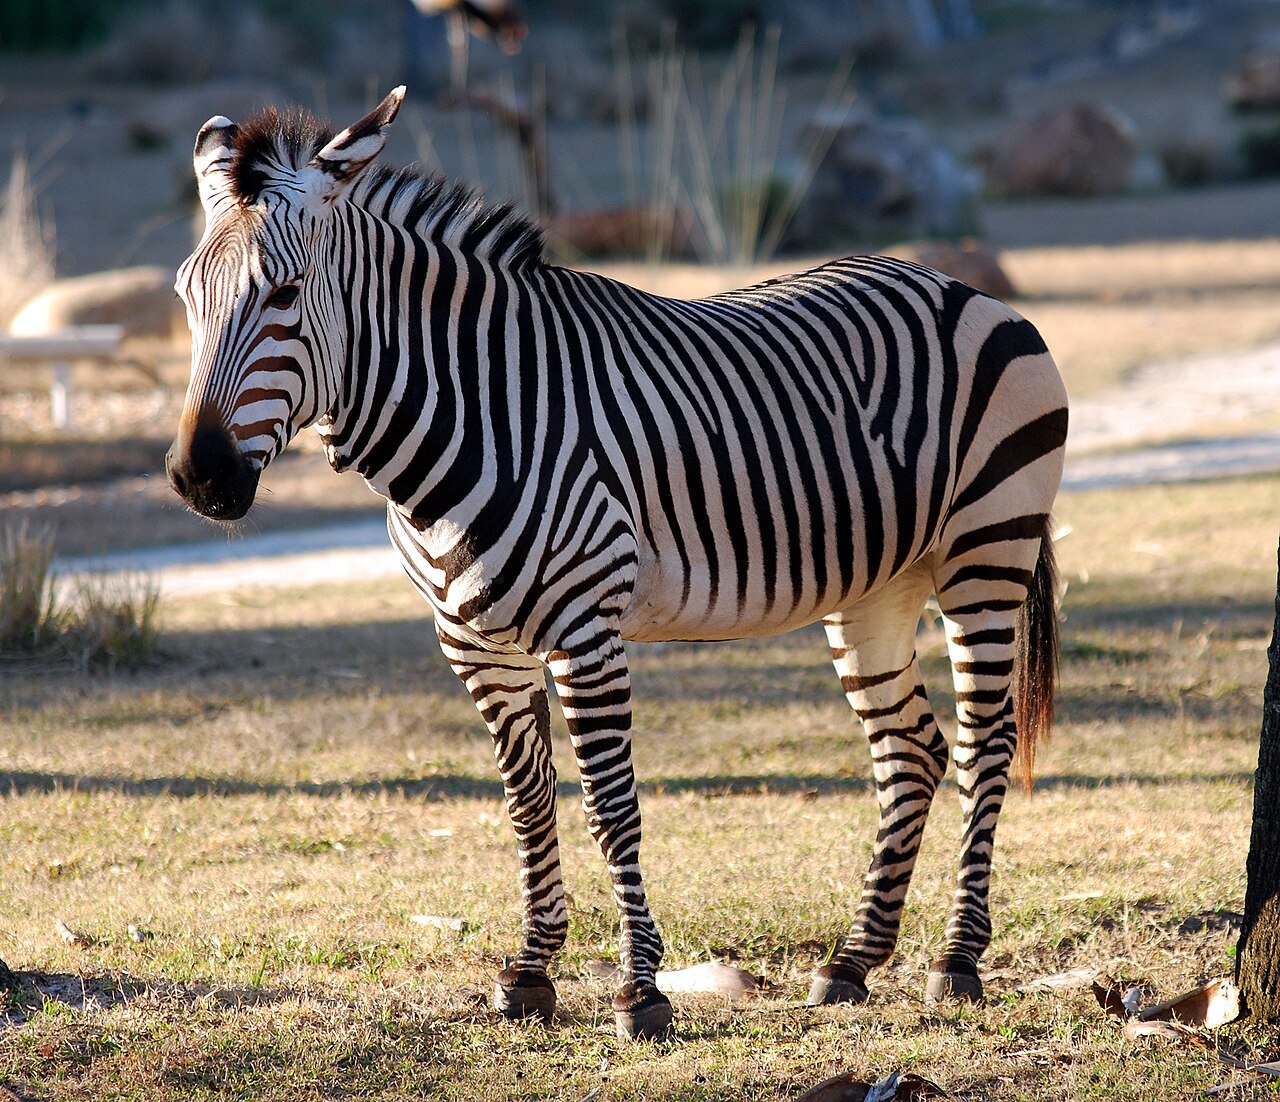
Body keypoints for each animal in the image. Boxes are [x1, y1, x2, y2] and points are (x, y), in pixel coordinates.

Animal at [166, 88, 1068, 1041]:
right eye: (186, 298)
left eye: (286, 292)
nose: (199, 476)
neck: (471, 416)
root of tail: (962, 287)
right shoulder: (474, 645)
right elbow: (529, 804)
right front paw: (530, 973)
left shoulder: (583, 631)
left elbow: (609, 807)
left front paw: (641, 992)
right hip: (877, 585)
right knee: (911, 750)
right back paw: (854, 961)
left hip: (986, 552)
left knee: (986, 742)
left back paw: (956, 961)